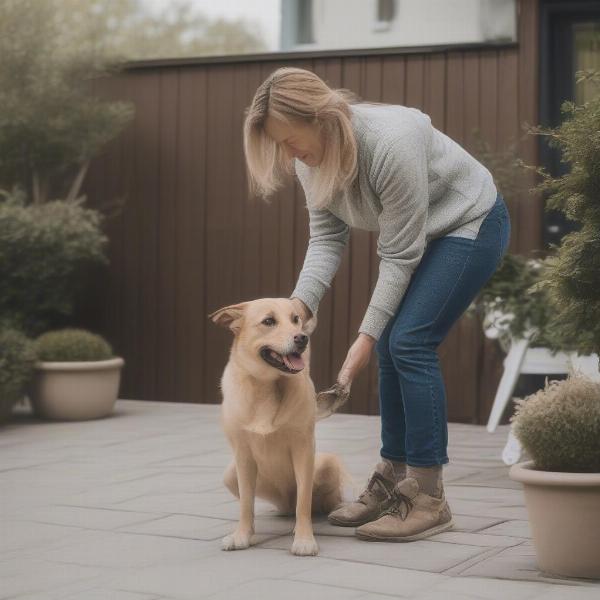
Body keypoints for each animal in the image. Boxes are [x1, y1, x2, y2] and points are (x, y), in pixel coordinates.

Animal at [210, 298, 352, 556]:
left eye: (296, 319)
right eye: (268, 321)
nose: (302, 338)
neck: (266, 386)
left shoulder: (304, 449)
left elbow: (303, 502)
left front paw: (304, 539)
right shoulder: (242, 455)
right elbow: (246, 504)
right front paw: (242, 535)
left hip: (327, 463)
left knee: (312, 503)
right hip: (230, 475)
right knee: (284, 507)